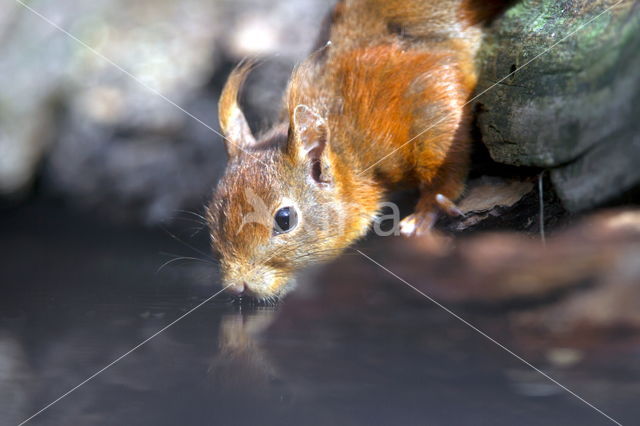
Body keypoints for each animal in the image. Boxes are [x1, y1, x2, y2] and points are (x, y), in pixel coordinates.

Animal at [208, 0, 508, 300]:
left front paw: (426, 211)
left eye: (285, 219)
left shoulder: (421, 92)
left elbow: (446, 156)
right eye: (211, 216)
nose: (237, 285)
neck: (351, 150)